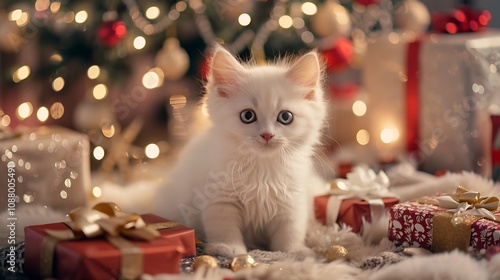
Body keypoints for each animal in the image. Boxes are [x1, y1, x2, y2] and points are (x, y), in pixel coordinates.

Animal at [155, 46, 328, 258]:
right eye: (248, 116)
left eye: (285, 117)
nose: (267, 135)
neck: (262, 170)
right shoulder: (219, 199)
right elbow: (224, 228)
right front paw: (228, 248)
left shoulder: (292, 200)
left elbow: (290, 231)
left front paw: (293, 252)